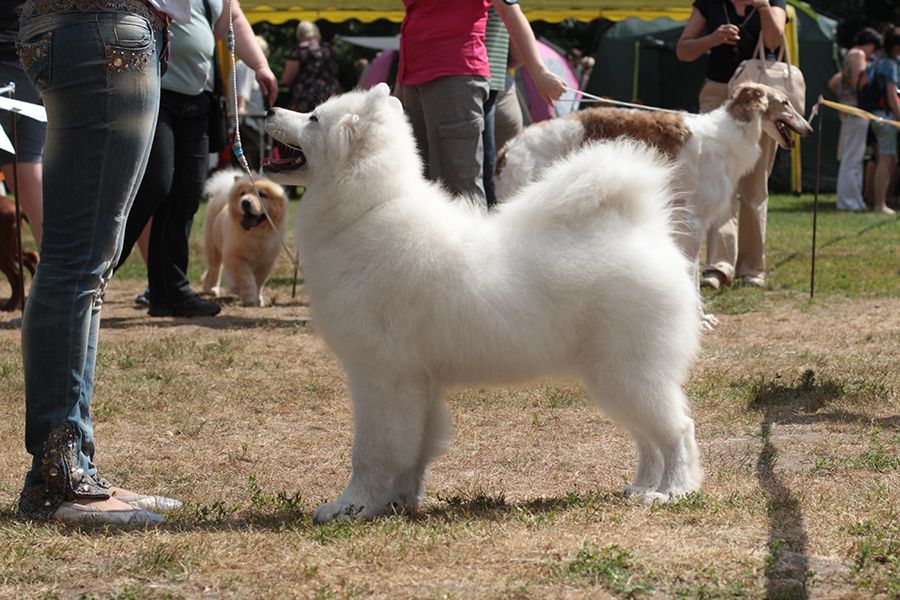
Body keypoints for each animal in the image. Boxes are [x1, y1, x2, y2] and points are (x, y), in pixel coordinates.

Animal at [201, 169, 288, 307]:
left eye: (261, 194)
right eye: (243, 193)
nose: (245, 202)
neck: (255, 233)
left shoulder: (266, 261)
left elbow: (259, 281)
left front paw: (258, 299)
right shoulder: (236, 257)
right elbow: (246, 277)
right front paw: (249, 297)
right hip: (213, 246)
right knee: (215, 268)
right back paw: (212, 289)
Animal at [264, 83, 702, 522]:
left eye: (313, 118)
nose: (269, 109)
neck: (365, 210)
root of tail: (643, 228)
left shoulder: (381, 376)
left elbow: (372, 452)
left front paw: (351, 506)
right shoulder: (417, 382)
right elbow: (414, 451)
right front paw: (400, 501)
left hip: (627, 373)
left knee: (677, 430)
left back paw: (671, 491)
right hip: (612, 378)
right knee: (647, 438)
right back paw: (641, 486)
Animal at [495, 82, 813, 328]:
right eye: (786, 103)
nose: (809, 129)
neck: (729, 133)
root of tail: (509, 148)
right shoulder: (693, 223)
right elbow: (691, 274)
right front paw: (698, 320)